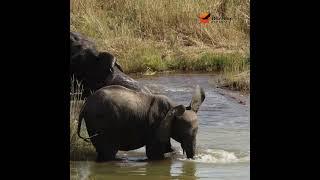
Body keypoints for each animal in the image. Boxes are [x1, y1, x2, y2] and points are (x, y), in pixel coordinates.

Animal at [77, 84, 205, 162]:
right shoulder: (155, 124)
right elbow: (154, 153)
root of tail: (84, 105)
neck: (173, 107)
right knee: (108, 152)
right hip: (100, 122)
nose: (190, 159)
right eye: (185, 135)